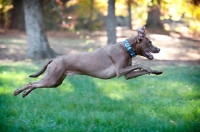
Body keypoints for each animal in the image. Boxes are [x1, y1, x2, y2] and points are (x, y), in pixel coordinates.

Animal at [13, 26, 162, 97]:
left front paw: (156, 71)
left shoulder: (127, 75)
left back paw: (25, 93)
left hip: (55, 82)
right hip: (51, 79)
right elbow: (140, 65)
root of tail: (55, 58)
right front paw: (148, 68)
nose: (159, 49)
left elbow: (139, 70)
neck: (127, 48)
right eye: (150, 42)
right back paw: (18, 91)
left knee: (35, 84)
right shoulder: (120, 70)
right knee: (32, 83)